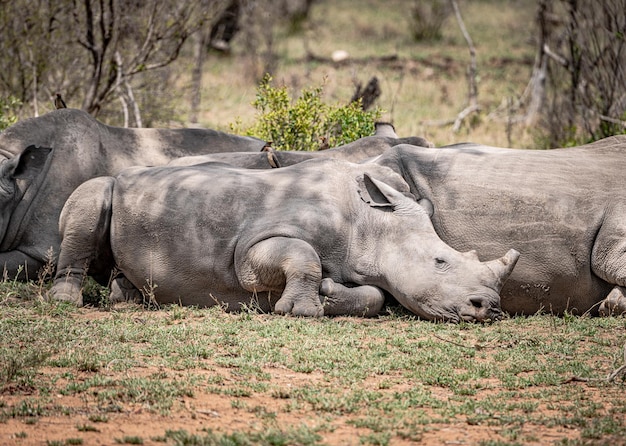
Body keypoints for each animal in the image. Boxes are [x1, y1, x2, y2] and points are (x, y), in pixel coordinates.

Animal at [48, 159, 516, 322]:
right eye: (440, 262)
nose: (489, 308)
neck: (370, 220)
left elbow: (376, 297)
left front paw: (330, 295)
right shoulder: (249, 249)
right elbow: (302, 255)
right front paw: (302, 311)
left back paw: (127, 300)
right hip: (109, 183)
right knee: (90, 196)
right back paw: (65, 302)